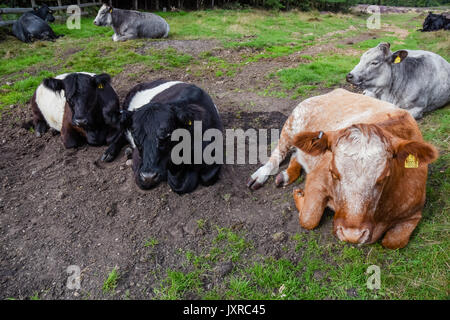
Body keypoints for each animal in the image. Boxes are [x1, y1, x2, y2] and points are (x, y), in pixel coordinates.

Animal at [248, 89, 438, 249]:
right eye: (333, 172)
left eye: (384, 177)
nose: (351, 235)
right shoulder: (317, 179)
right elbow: (309, 218)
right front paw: (300, 195)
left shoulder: (414, 213)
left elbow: (393, 241)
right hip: (292, 124)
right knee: (278, 153)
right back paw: (261, 175)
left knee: (296, 155)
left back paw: (286, 175)